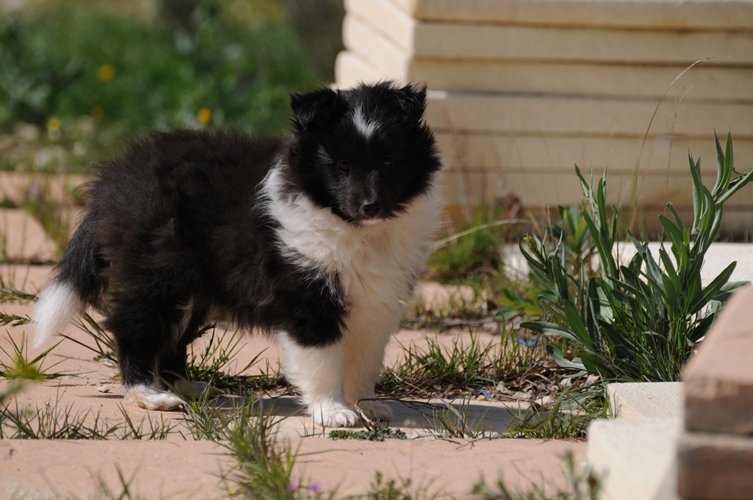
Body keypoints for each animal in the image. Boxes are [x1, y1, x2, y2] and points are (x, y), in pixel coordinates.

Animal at [33, 81, 440, 426]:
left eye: (389, 161)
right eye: (342, 165)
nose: (371, 206)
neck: (354, 228)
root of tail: (113, 180)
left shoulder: (378, 301)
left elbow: (366, 359)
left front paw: (367, 405)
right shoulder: (307, 293)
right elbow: (323, 358)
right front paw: (333, 411)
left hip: (190, 287)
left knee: (172, 338)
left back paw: (188, 388)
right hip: (159, 271)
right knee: (135, 328)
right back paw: (150, 395)